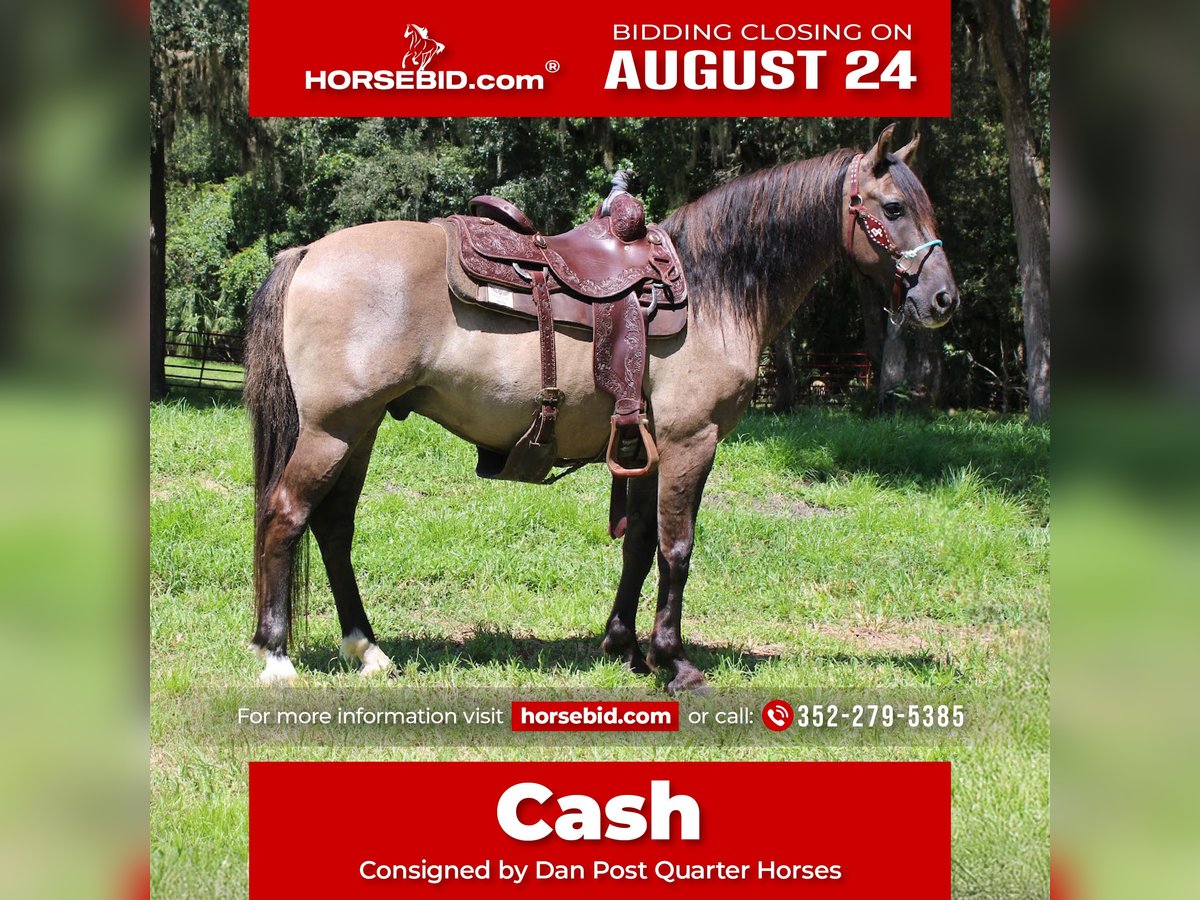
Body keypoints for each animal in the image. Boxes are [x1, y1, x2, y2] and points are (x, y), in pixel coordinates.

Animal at [244, 124, 960, 692]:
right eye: (893, 206)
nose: (944, 299)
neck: (712, 289)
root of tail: (308, 251)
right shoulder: (690, 442)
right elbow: (676, 548)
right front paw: (676, 663)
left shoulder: (645, 448)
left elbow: (638, 544)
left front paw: (625, 648)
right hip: (333, 430)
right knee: (286, 515)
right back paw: (276, 657)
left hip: (359, 429)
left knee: (333, 527)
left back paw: (367, 650)